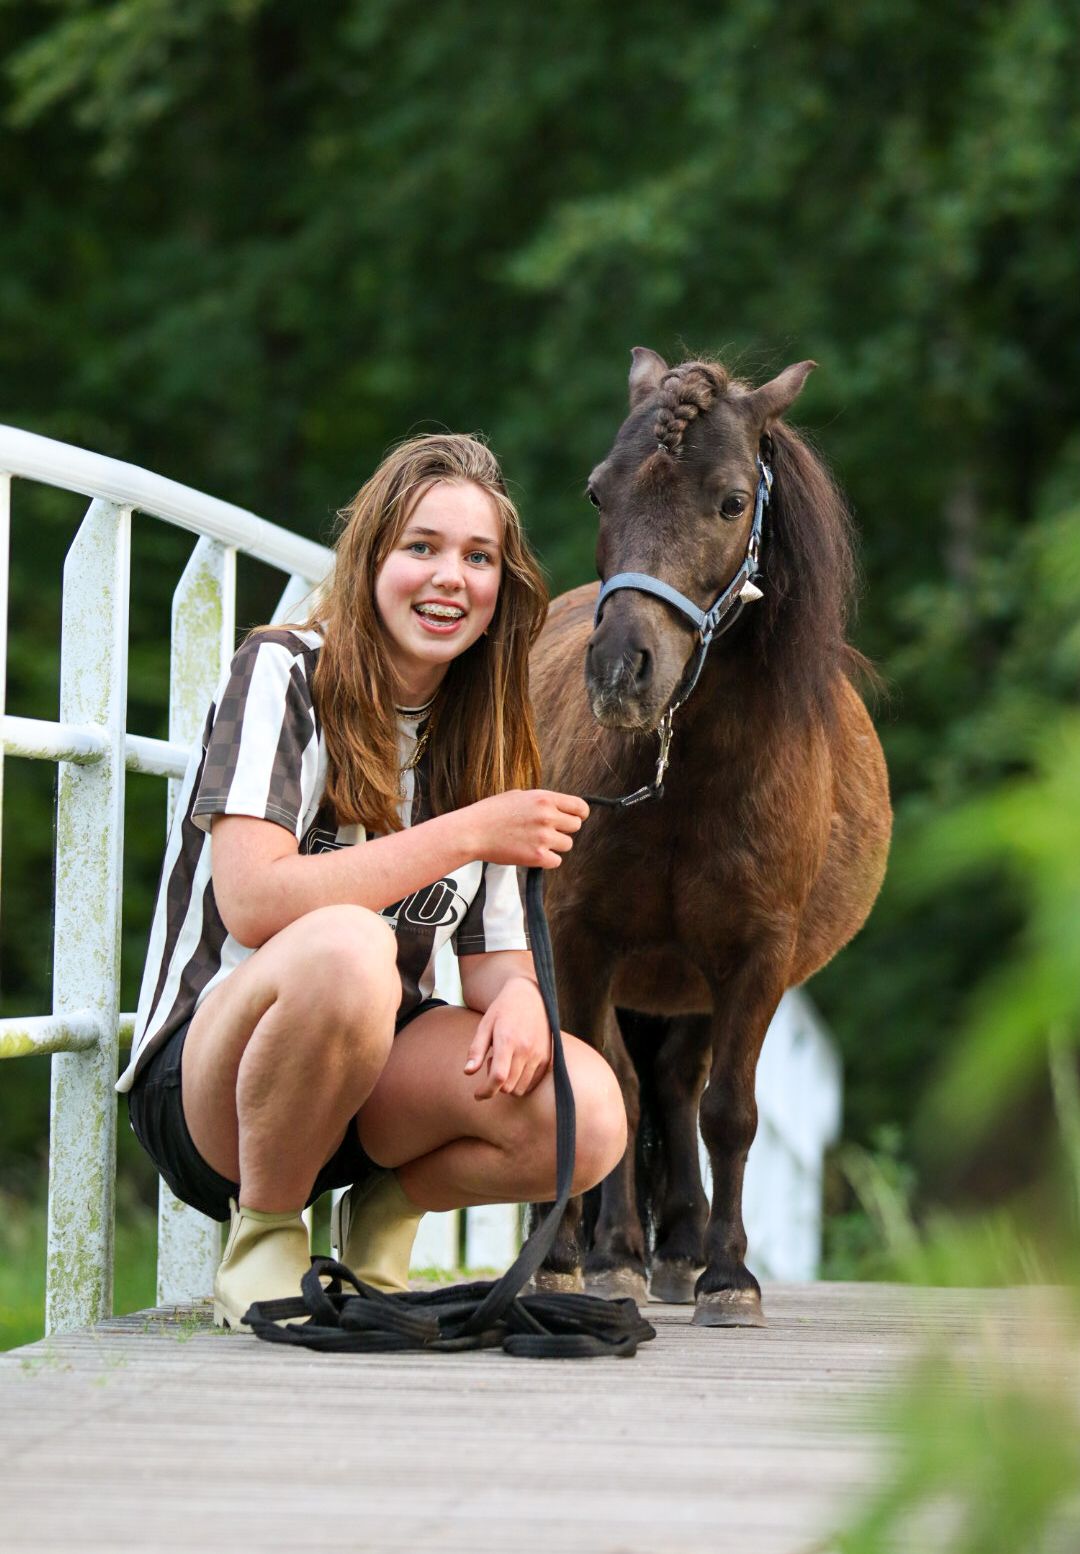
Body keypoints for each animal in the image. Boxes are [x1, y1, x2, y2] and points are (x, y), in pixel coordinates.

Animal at [528, 350, 891, 1326]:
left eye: (732, 501)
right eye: (598, 491)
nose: (623, 670)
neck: (685, 782)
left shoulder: (756, 956)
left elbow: (728, 1109)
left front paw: (729, 1276)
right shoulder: (582, 941)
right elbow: (606, 1091)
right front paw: (588, 1261)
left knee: (682, 1083)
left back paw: (684, 1248)